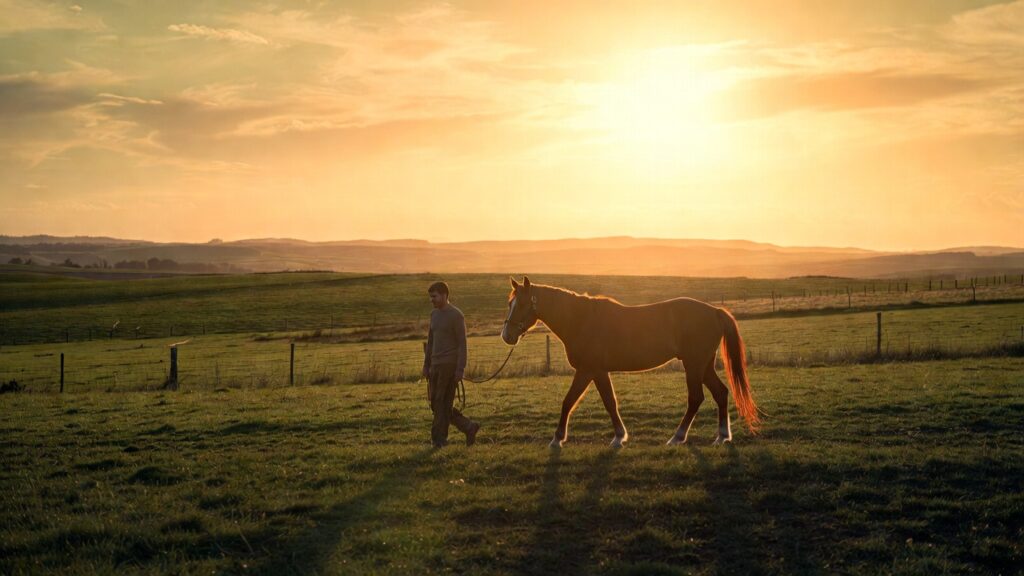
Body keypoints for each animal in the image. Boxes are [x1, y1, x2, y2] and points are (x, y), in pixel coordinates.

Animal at [501, 276, 759, 448]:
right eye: (509, 303)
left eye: (521, 304)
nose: (507, 335)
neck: (581, 320)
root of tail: (714, 311)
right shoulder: (598, 372)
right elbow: (609, 402)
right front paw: (619, 436)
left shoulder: (588, 370)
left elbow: (571, 401)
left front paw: (557, 438)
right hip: (703, 366)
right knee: (721, 393)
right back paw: (722, 435)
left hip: (694, 366)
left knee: (696, 399)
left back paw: (677, 437)